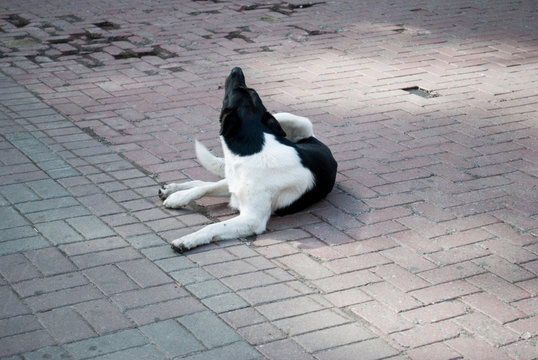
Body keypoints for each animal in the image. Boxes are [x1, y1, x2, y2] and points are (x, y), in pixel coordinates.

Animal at [158, 68, 336, 253]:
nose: (236, 69)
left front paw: (188, 239)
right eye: (250, 90)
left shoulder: (252, 219)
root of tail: (313, 139)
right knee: (204, 184)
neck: (253, 150)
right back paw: (173, 190)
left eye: (237, 91)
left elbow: (213, 226)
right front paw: (178, 198)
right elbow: (204, 189)